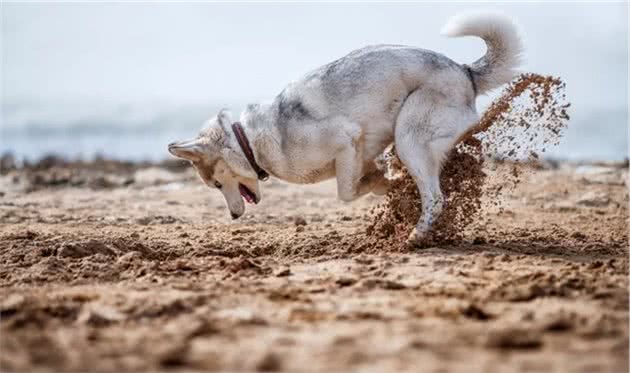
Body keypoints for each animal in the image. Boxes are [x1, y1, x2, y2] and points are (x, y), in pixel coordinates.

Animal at [168, 10, 524, 241]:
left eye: (216, 184)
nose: (233, 216)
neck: (249, 143)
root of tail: (464, 71)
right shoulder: (360, 154)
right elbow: (366, 182)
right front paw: (388, 184)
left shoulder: (346, 140)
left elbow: (346, 192)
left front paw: (389, 185)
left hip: (408, 138)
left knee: (436, 198)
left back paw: (416, 235)